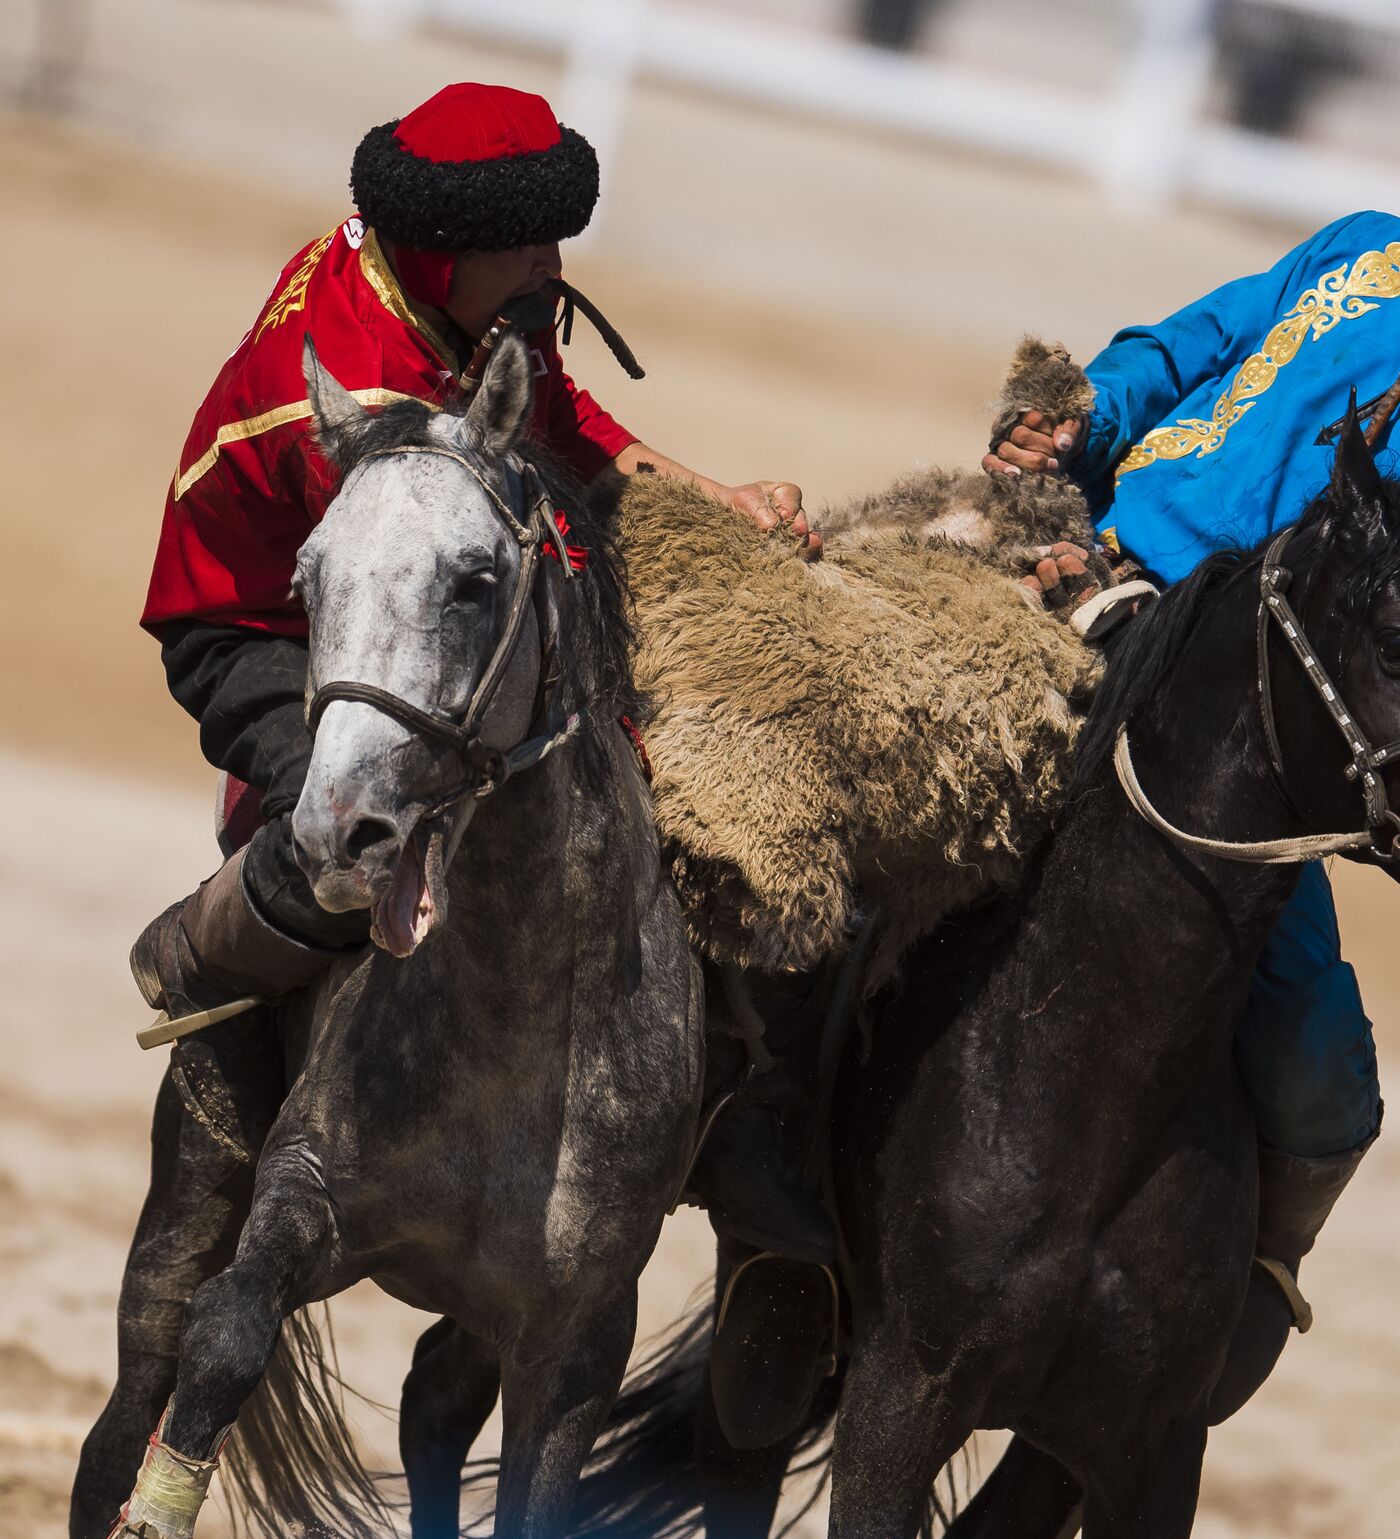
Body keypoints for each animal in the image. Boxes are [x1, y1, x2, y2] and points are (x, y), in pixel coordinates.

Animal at [76, 337, 701, 1539]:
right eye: (307, 581)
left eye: (474, 580)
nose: (338, 828)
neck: (517, 1028)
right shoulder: (301, 1197)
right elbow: (222, 1344)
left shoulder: (577, 1339)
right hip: (189, 1194)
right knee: (125, 1413)